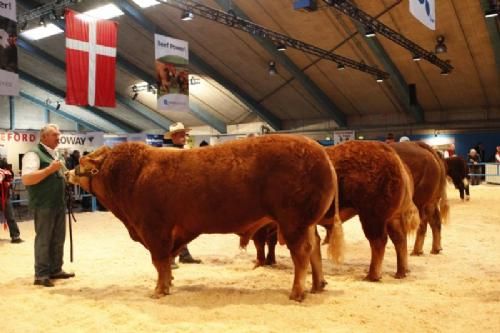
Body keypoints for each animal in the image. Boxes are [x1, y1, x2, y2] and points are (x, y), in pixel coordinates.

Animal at [67, 134, 340, 300]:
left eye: (82, 163)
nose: (68, 172)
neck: (133, 176)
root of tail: (320, 150)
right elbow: (166, 263)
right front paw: (169, 283)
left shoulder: (154, 229)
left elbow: (159, 261)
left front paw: (159, 290)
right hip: (306, 223)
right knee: (314, 248)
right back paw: (318, 285)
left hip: (294, 221)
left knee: (301, 253)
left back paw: (297, 292)